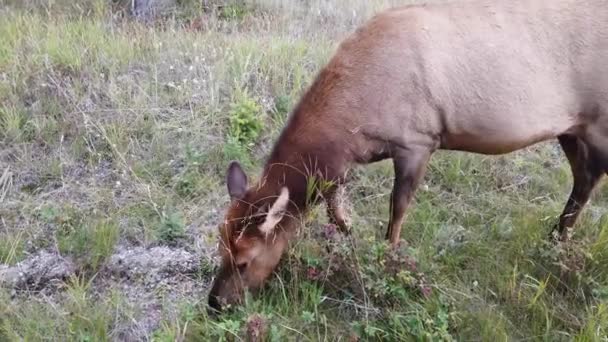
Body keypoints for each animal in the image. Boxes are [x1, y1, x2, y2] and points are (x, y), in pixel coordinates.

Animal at [208, 0, 608, 312]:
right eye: (220, 248)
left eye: (243, 261)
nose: (215, 303)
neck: (353, 128)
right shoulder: (347, 164)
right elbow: (335, 205)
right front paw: (350, 232)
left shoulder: (418, 140)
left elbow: (397, 209)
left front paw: (389, 258)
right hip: (571, 128)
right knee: (583, 178)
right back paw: (556, 237)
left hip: (598, 122)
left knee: (591, 177)